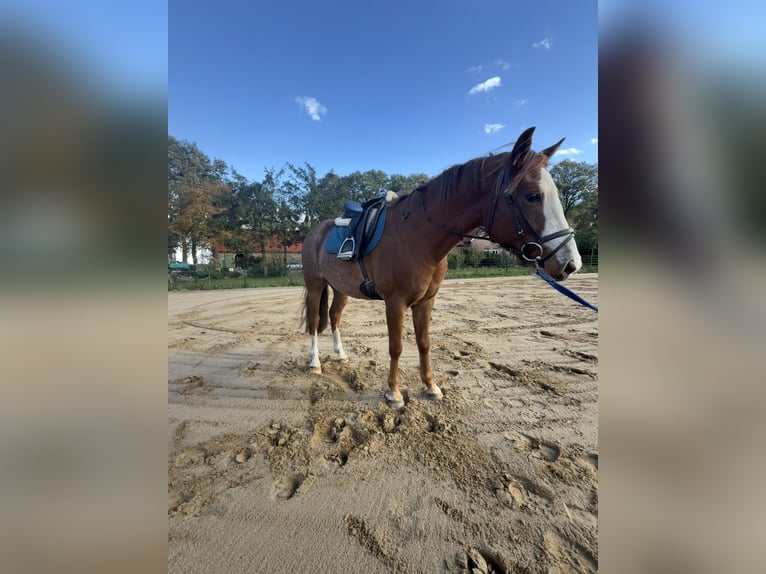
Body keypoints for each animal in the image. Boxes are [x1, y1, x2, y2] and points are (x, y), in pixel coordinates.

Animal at [301, 127, 582, 409]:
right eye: (532, 195)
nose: (571, 263)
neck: (417, 235)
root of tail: (315, 231)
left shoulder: (426, 301)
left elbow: (424, 343)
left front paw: (430, 387)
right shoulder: (395, 302)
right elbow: (396, 347)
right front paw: (394, 394)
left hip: (341, 289)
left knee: (334, 317)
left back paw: (340, 354)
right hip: (315, 285)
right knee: (314, 322)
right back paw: (315, 363)